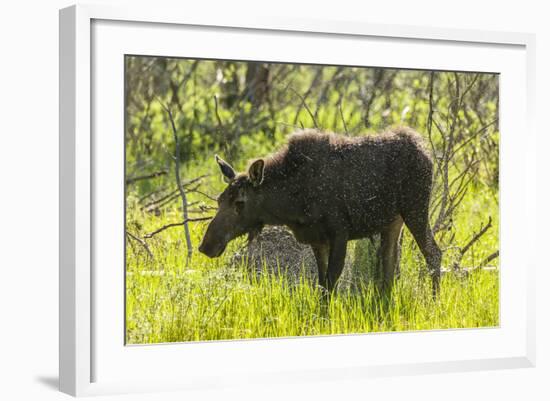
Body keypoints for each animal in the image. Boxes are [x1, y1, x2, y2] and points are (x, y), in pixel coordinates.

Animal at [199, 126, 444, 296]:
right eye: (219, 200)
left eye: (240, 203)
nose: (206, 245)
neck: (290, 204)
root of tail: (425, 151)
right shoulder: (318, 240)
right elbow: (321, 283)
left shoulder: (340, 233)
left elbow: (329, 283)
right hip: (393, 222)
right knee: (390, 265)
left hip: (415, 209)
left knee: (433, 253)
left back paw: (433, 302)